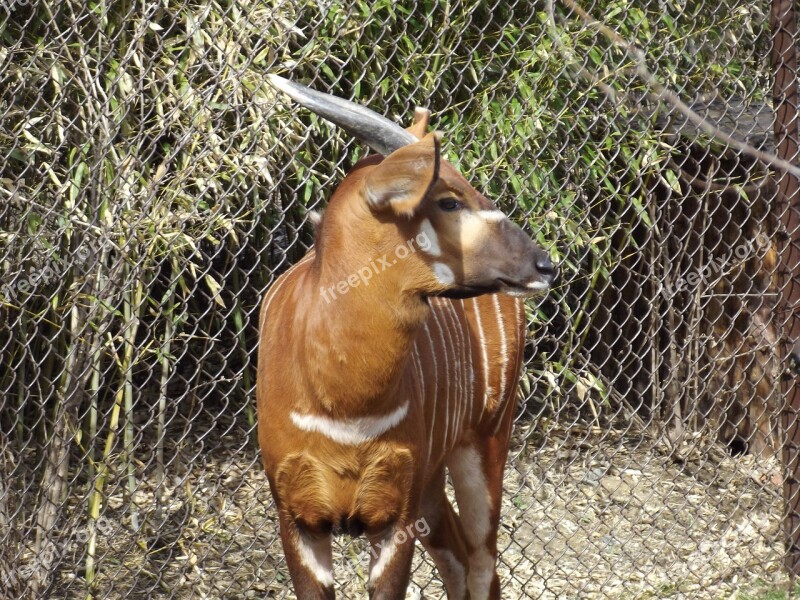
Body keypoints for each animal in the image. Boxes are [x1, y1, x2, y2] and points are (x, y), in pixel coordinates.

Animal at [260, 76, 552, 600]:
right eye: (449, 200)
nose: (544, 265)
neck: (345, 405)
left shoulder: (393, 520)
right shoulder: (298, 519)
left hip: (487, 440)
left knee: (482, 562)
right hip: (433, 481)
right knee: (459, 558)